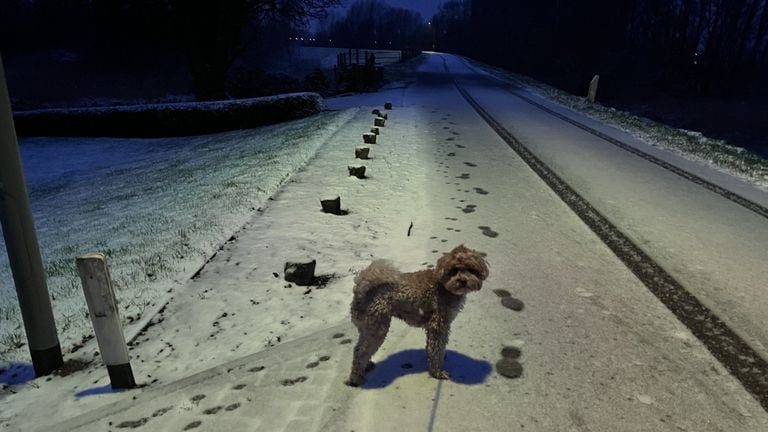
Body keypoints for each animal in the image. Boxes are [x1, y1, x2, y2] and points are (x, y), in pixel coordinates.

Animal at [346, 245, 488, 386]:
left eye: (471, 269)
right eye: (454, 270)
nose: (463, 281)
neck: (443, 285)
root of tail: (360, 289)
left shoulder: (440, 327)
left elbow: (435, 347)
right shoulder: (438, 325)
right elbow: (436, 350)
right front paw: (438, 372)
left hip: (366, 327)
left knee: (360, 349)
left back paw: (366, 366)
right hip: (377, 327)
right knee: (360, 352)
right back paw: (356, 379)